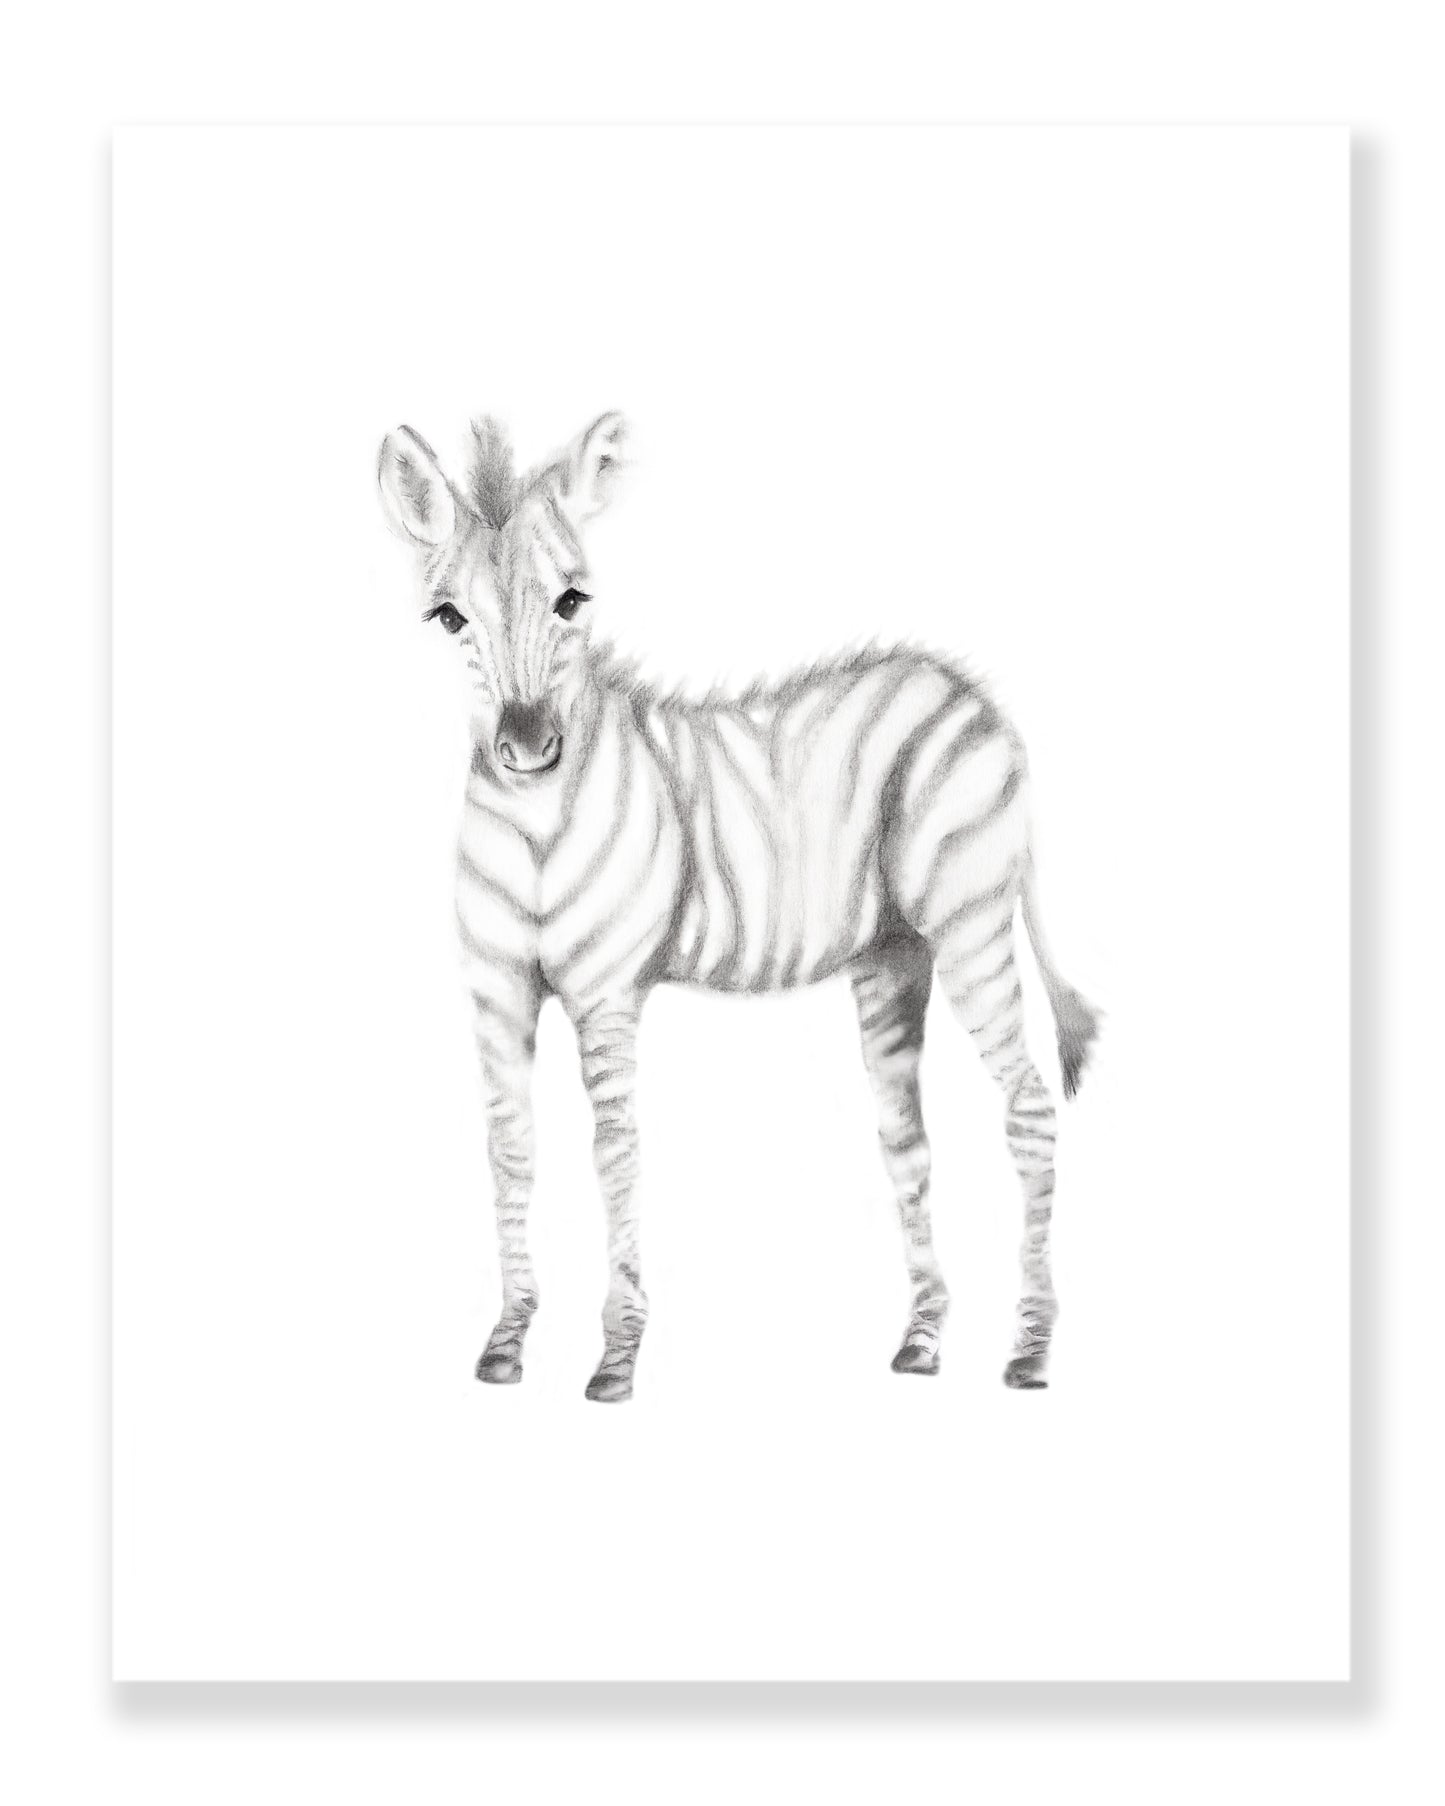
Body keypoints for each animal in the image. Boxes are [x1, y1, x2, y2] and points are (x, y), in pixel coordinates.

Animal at [378, 411, 1099, 1401]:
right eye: (448, 617)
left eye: (572, 601)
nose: (525, 749)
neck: (533, 832)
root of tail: (970, 693)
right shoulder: (494, 995)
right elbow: (510, 1151)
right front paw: (506, 1341)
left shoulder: (606, 995)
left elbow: (615, 1154)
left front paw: (617, 1356)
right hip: (893, 957)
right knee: (907, 1139)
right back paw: (920, 1342)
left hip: (971, 925)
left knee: (1027, 1105)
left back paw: (1028, 1352)